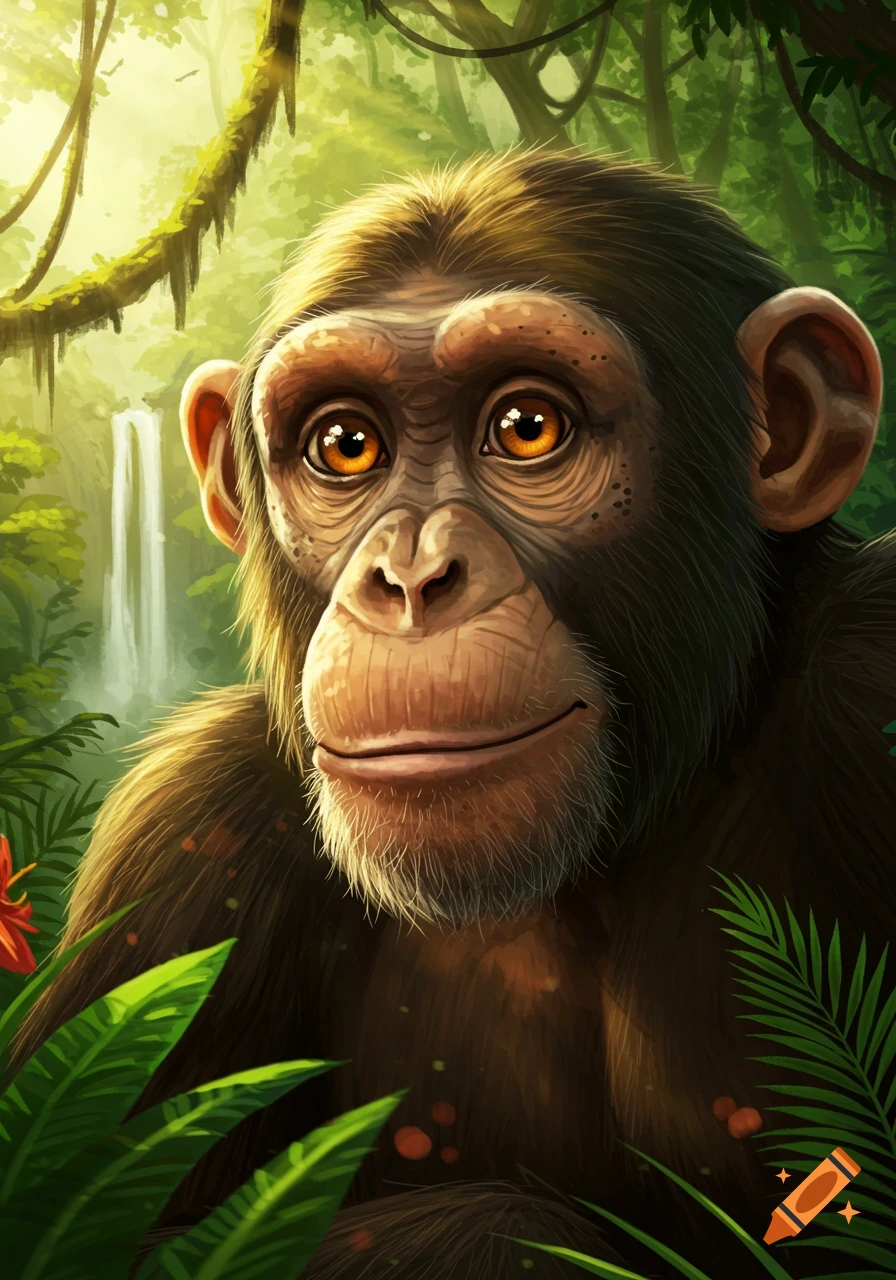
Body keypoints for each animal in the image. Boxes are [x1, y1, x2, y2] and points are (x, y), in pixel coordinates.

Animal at [13, 150, 894, 1278]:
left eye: (528, 428)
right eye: (346, 445)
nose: (411, 576)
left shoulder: (872, 675)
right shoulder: (184, 833)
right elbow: (93, 1219)